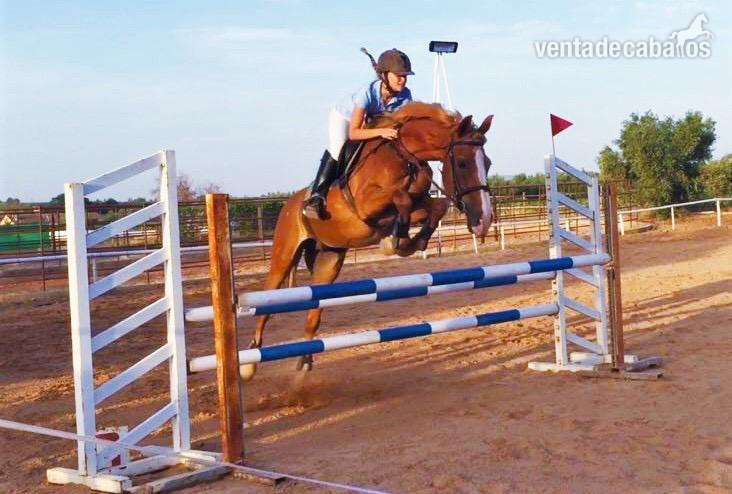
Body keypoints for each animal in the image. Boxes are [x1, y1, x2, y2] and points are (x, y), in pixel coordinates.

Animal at [240, 102, 494, 380]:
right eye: (462, 163)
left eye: (488, 163)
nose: (484, 220)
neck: (405, 155)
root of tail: (288, 204)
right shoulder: (366, 205)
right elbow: (402, 197)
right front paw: (397, 240)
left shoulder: (417, 202)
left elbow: (434, 207)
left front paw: (409, 241)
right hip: (284, 255)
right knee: (267, 301)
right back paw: (249, 363)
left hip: (329, 258)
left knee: (314, 311)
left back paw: (305, 362)